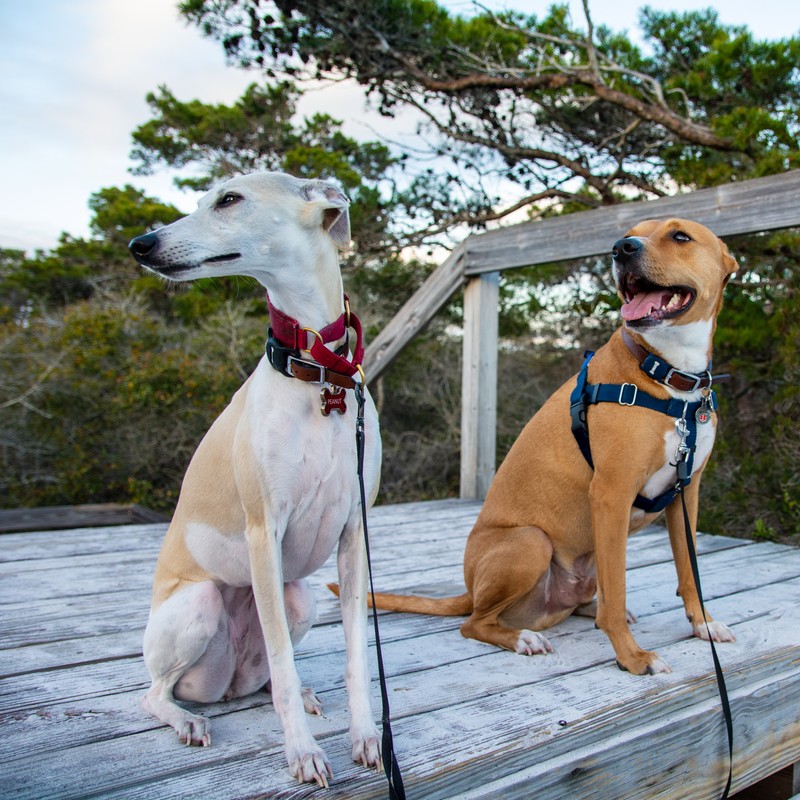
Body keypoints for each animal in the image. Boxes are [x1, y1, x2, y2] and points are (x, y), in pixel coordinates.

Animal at [127, 170, 382, 788]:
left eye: (228, 200)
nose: (140, 244)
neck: (319, 377)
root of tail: (226, 686)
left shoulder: (354, 533)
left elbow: (357, 655)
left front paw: (366, 736)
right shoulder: (263, 531)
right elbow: (286, 667)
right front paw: (303, 752)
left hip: (299, 599)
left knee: (269, 672)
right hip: (199, 606)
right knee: (156, 692)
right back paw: (187, 719)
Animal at [362, 217, 736, 676]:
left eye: (680, 236)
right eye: (633, 232)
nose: (621, 248)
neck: (669, 375)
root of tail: (470, 589)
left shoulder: (687, 494)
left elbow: (689, 572)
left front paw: (704, 625)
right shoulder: (611, 494)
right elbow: (618, 594)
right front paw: (632, 657)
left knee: (586, 600)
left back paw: (581, 608)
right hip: (531, 542)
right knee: (474, 623)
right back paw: (523, 637)